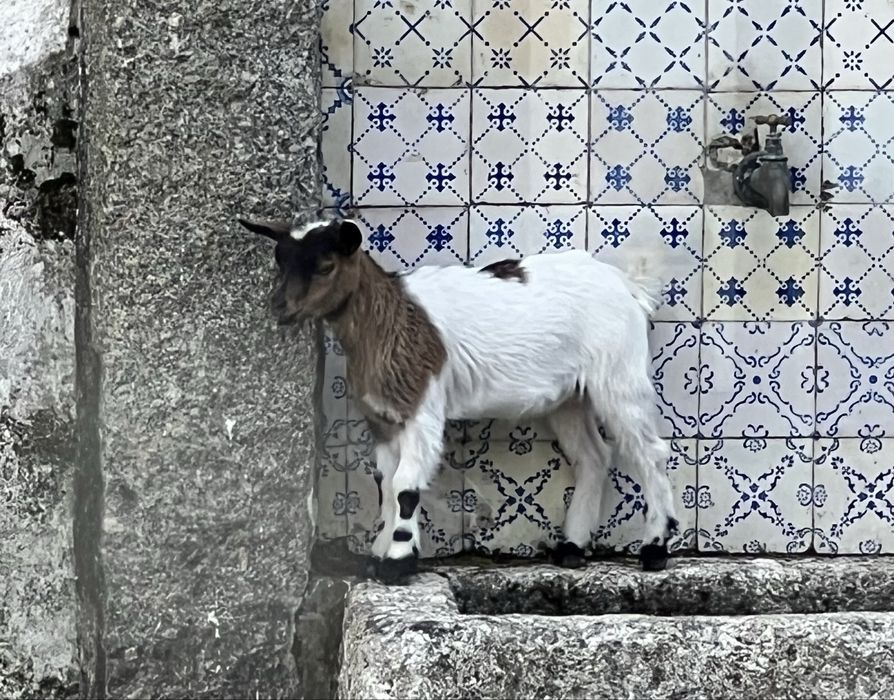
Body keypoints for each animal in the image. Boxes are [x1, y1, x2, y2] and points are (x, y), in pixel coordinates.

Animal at [240, 216, 679, 580]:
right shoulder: (383, 418)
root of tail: (629, 286)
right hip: (569, 396)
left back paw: (655, 548)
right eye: (281, 261)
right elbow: (385, 484)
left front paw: (398, 561)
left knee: (650, 453)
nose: (279, 306)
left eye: (326, 265)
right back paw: (572, 547)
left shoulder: (422, 408)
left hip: (619, 374)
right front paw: (379, 553)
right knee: (593, 456)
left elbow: (405, 487)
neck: (390, 320)